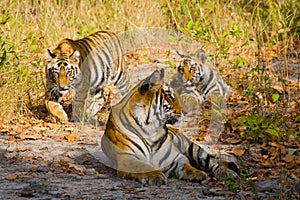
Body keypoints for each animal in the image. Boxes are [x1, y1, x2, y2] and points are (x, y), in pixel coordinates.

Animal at [101, 69, 239, 186]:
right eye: (170, 96)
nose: (186, 110)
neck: (151, 130)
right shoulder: (126, 157)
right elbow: (142, 166)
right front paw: (155, 175)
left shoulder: (175, 156)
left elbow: (185, 165)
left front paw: (196, 173)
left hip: (193, 148)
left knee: (214, 162)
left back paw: (228, 173)